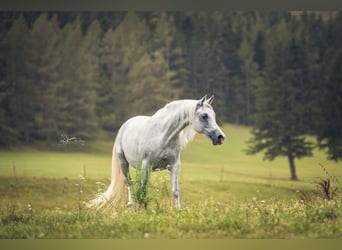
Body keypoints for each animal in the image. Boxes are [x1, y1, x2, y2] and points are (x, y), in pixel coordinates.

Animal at [88, 95, 226, 209]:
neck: (163, 135)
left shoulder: (174, 166)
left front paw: (178, 211)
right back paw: (131, 205)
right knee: (129, 183)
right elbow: (143, 189)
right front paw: (143, 210)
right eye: (204, 116)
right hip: (124, 164)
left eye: (213, 115)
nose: (220, 137)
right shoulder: (147, 166)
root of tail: (125, 125)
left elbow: (175, 191)